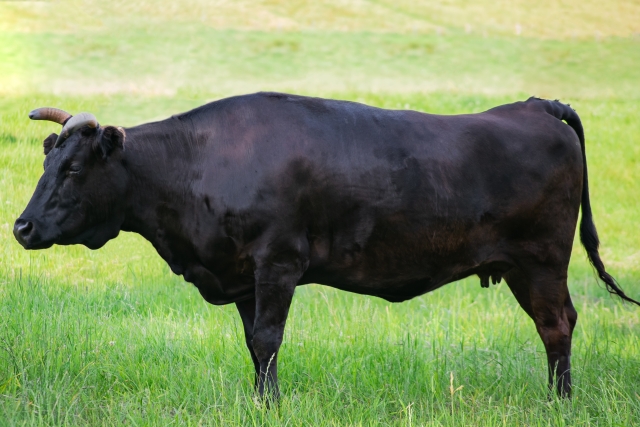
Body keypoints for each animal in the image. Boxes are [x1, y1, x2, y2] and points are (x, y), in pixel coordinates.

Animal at [12, 93, 636, 398]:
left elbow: (268, 341)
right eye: (46, 162)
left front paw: (270, 405)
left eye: (72, 169)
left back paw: (559, 402)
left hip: (541, 261)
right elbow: (254, 345)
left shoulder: (278, 261)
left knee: (557, 325)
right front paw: (260, 401)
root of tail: (534, 105)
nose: (21, 227)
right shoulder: (243, 275)